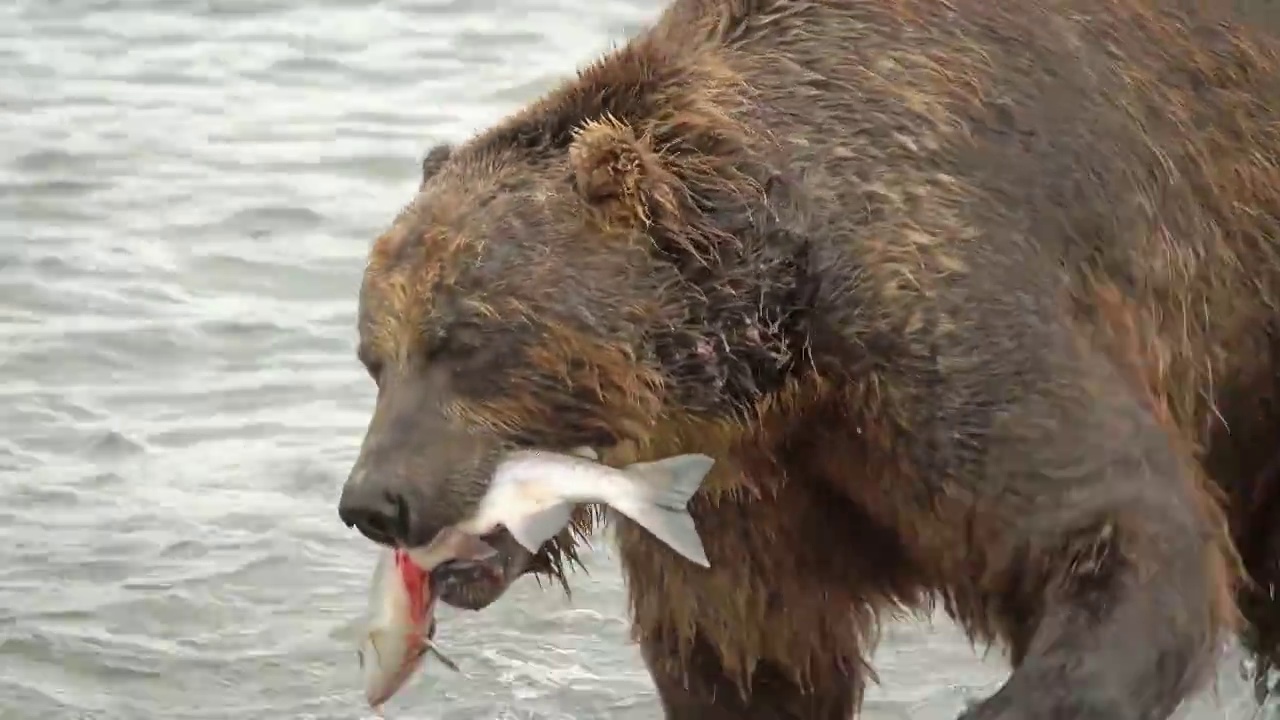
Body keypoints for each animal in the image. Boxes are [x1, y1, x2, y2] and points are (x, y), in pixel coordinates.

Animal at [335, 0, 1280, 712]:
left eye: (464, 338)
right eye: (374, 358)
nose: (375, 500)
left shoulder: (936, 319)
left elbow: (1121, 527)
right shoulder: (742, 500)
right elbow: (753, 660)